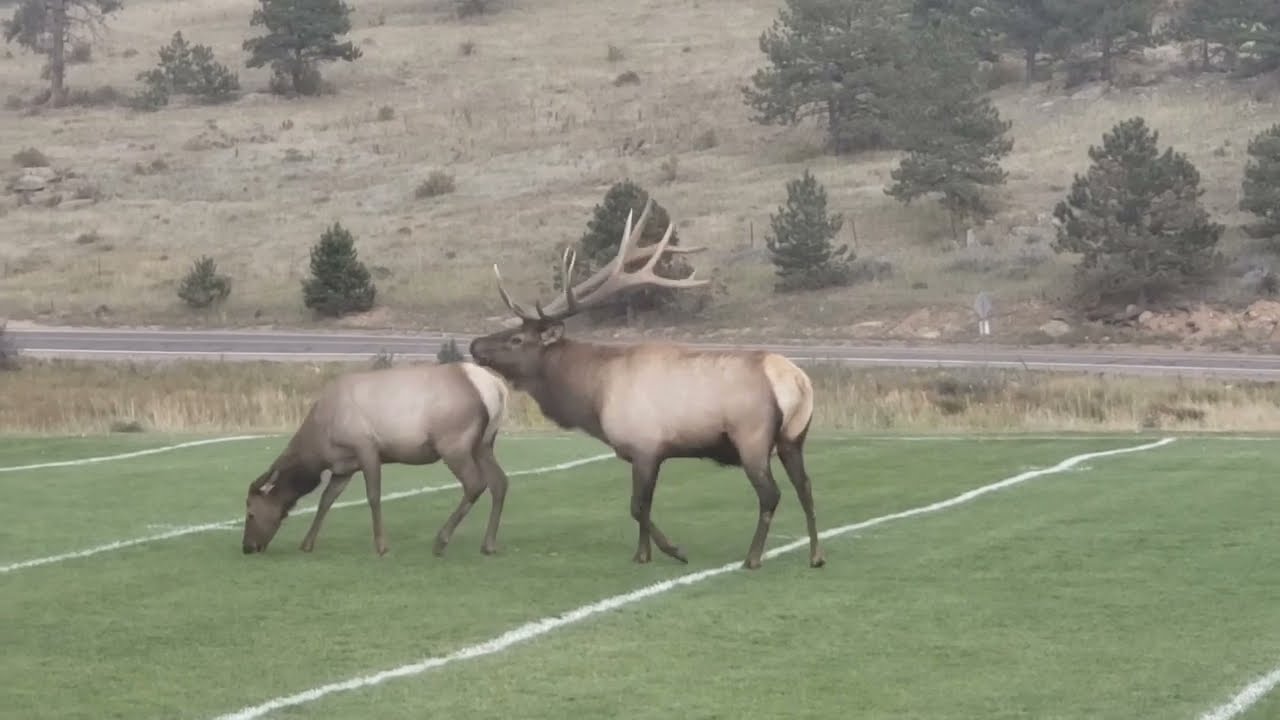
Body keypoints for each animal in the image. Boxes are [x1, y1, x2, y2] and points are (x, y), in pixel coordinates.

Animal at [240, 361, 513, 558]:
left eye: (251, 512)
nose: (247, 547)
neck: (320, 444)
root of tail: (496, 388)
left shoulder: (367, 448)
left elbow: (373, 496)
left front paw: (382, 546)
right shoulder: (344, 467)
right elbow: (326, 500)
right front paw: (307, 543)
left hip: (454, 443)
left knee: (475, 484)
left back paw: (441, 541)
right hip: (484, 444)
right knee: (500, 482)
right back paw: (488, 544)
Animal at [468, 198, 824, 571]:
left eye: (517, 339)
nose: (475, 344)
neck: (594, 396)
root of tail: (797, 381)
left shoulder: (645, 446)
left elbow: (637, 506)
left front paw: (674, 550)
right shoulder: (648, 453)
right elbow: (645, 506)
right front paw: (642, 554)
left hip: (752, 436)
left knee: (771, 494)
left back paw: (753, 557)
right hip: (793, 437)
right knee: (806, 487)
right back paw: (816, 554)